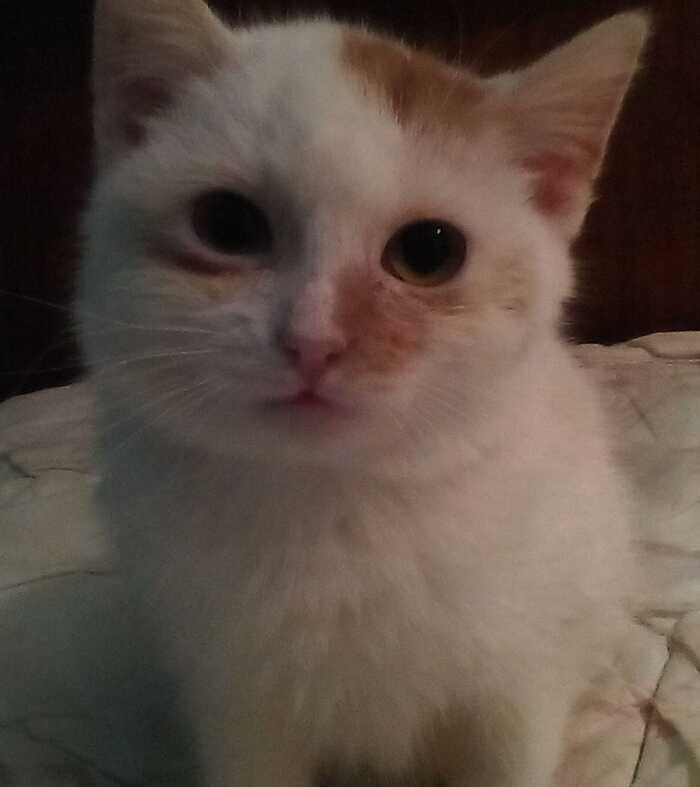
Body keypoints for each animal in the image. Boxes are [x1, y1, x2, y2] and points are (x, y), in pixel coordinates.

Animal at [79, 1, 649, 785]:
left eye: (430, 251)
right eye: (226, 224)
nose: (313, 341)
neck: (336, 505)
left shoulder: (520, 686)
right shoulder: (234, 699)